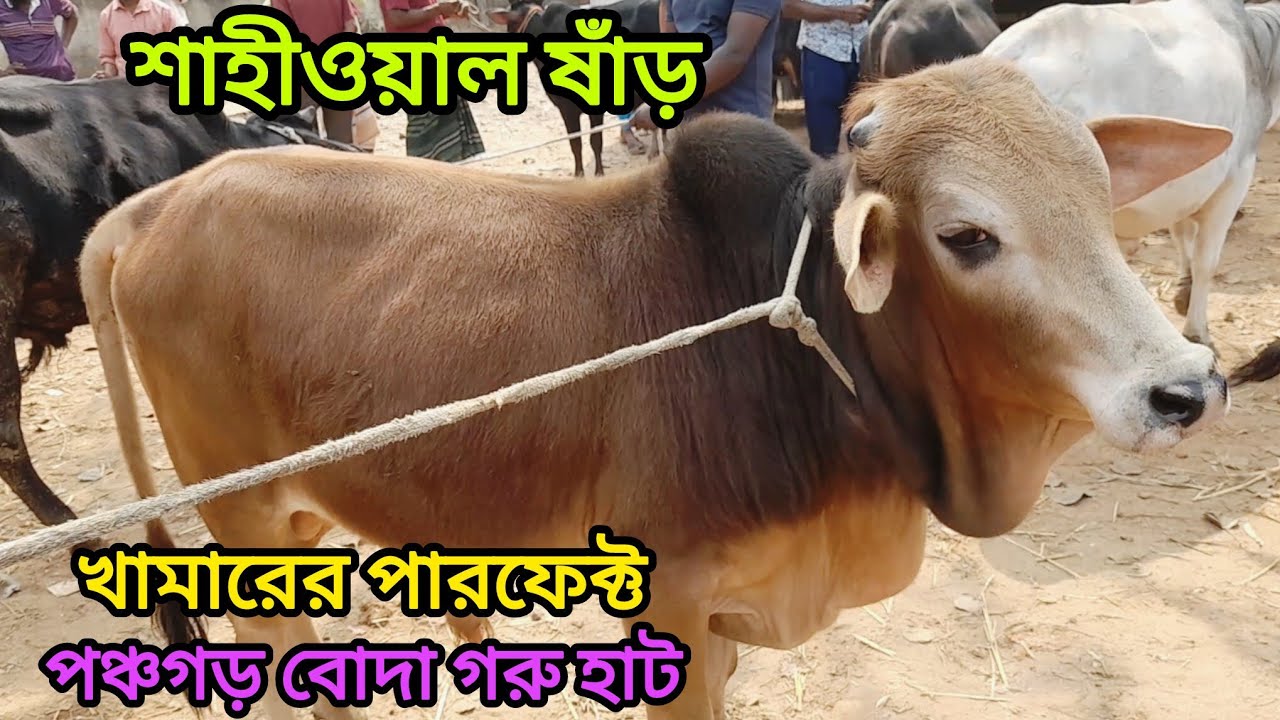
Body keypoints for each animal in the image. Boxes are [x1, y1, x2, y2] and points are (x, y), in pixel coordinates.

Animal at [79, 56, 1233, 719]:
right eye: (967, 237)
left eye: (1097, 196)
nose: (1187, 389)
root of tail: (158, 204)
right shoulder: (671, 609)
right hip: (242, 522)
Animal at [488, 0, 663, 176]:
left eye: (510, 25)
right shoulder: (566, 109)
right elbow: (575, 143)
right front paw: (580, 174)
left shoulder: (581, 108)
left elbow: (593, 141)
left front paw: (598, 173)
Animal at [983, 0, 1280, 353]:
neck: (1258, 51)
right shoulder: (1234, 179)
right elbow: (1207, 261)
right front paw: (1198, 332)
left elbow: (1181, 234)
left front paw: (1184, 287)